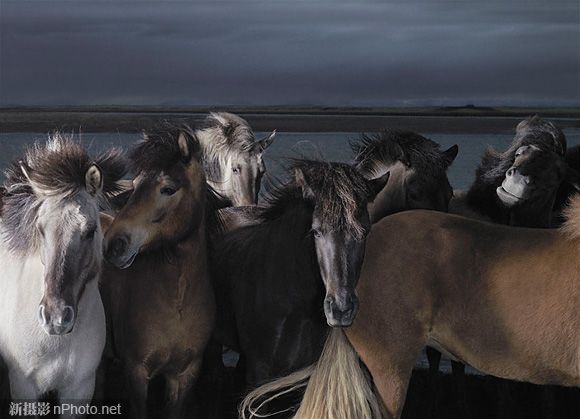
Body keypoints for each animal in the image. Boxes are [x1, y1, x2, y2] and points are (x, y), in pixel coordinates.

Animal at [0, 135, 125, 416]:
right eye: (40, 229)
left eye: (90, 230)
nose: (55, 317)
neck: (53, 342)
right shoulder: (23, 387)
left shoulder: (79, 390)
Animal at [99, 130, 218, 418]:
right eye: (135, 184)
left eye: (168, 189)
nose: (113, 245)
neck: (178, 301)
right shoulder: (136, 373)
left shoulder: (184, 376)